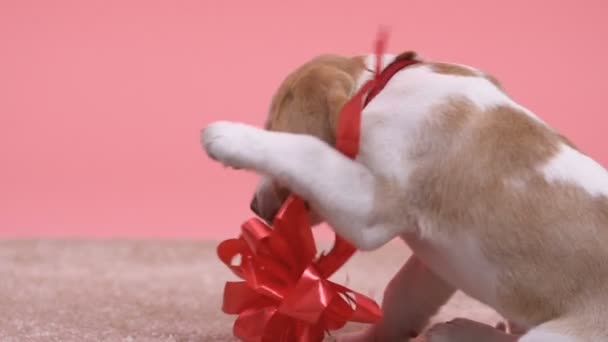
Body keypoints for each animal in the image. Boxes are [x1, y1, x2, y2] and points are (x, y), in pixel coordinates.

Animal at [202, 51, 608, 342]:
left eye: (272, 125)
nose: (254, 207)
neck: (377, 89)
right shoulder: (433, 262)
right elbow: (401, 296)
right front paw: (373, 337)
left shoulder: (370, 209)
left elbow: (306, 151)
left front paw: (229, 137)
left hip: (562, 336)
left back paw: (459, 333)